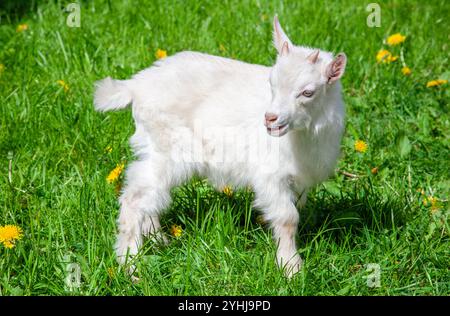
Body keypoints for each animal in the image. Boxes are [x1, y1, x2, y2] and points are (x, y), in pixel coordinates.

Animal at [93, 16, 346, 278]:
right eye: (272, 84)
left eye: (308, 92)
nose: (270, 119)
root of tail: (135, 87)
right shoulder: (270, 174)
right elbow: (288, 218)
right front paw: (291, 268)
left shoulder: (300, 179)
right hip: (169, 147)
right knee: (135, 198)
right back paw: (131, 266)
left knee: (149, 194)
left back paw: (158, 240)